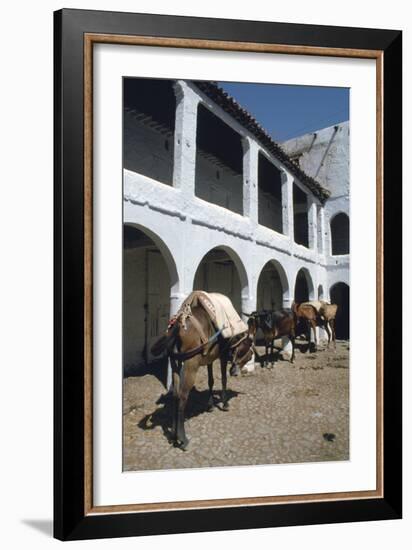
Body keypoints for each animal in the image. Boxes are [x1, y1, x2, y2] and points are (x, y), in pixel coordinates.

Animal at [151, 304, 253, 450]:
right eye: (248, 355)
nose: (235, 372)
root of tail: (179, 323)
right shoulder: (222, 355)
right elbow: (223, 379)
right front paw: (225, 403)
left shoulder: (209, 358)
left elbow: (211, 381)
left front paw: (210, 405)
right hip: (191, 364)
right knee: (182, 396)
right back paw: (183, 439)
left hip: (175, 362)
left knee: (175, 394)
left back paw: (174, 435)